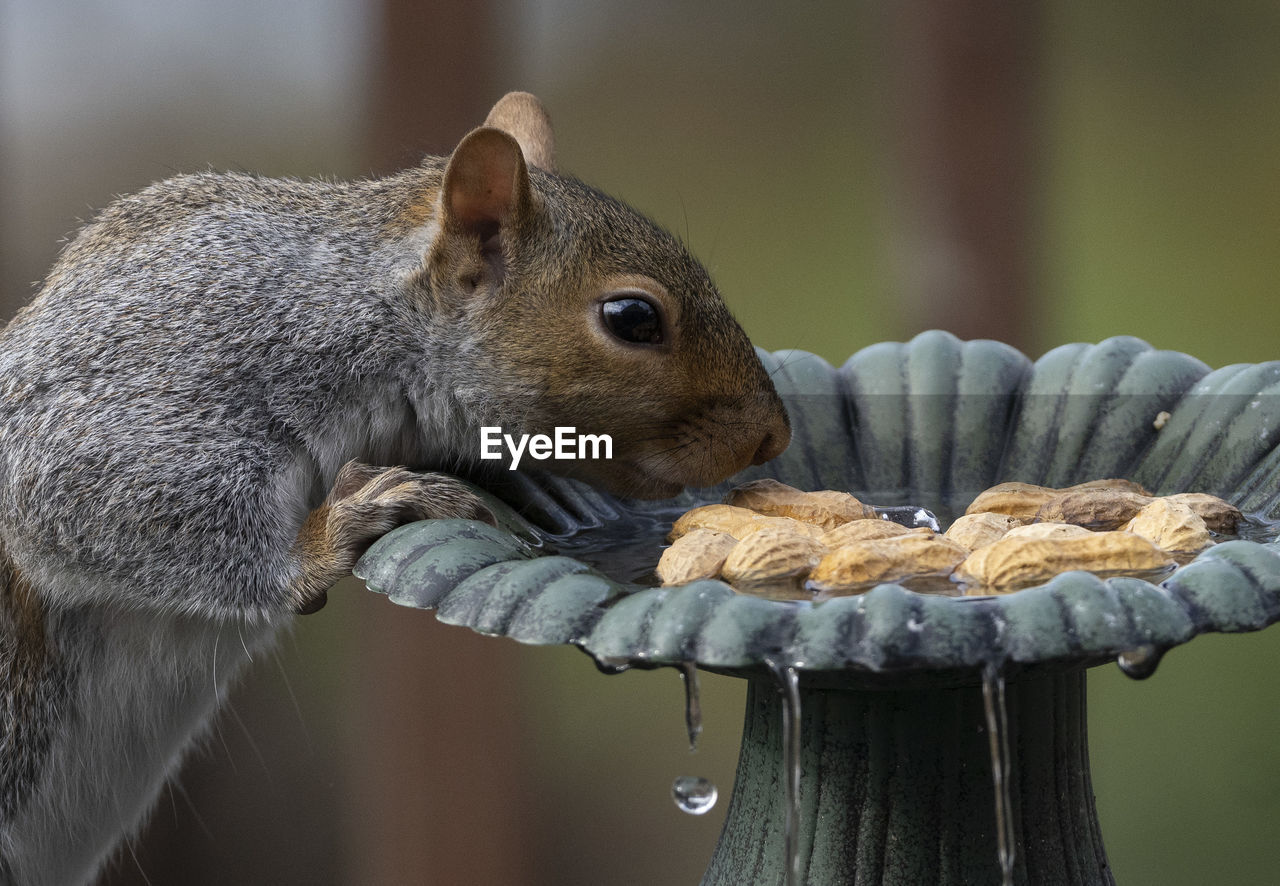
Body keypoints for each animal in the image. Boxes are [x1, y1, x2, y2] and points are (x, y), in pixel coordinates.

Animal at [0, 93, 788, 880]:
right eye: (633, 318)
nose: (773, 434)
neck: (359, 315)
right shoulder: (161, 364)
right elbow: (72, 491)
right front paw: (330, 535)